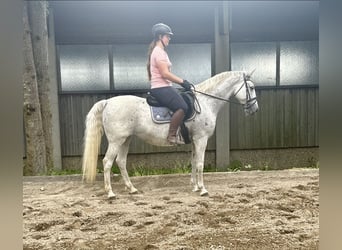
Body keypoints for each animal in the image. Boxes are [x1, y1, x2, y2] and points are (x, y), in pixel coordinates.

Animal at [83, 70, 258, 197]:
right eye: (251, 87)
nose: (254, 109)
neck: (205, 102)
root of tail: (108, 102)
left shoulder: (195, 140)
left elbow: (193, 162)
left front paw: (195, 187)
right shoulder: (201, 139)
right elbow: (200, 163)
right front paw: (202, 189)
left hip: (125, 140)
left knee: (121, 161)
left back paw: (131, 188)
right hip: (116, 141)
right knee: (107, 162)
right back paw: (110, 193)